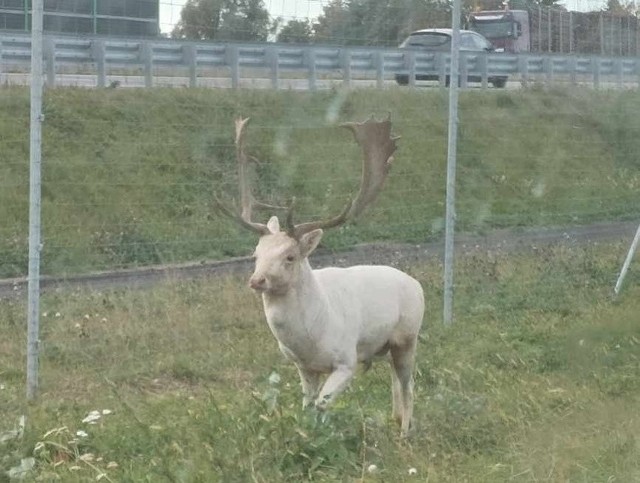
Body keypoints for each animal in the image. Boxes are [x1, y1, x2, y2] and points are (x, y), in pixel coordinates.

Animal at [216, 116, 424, 434]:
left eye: (290, 256)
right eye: (255, 254)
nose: (257, 280)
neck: (311, 339)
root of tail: (417, 284)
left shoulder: (347, 360)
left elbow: (322, 406)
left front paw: (321, 434)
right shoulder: (304, 367)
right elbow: (307, 406)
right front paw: (306, 432)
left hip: (407, 337)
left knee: (408, 384)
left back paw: (404, 432)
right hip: (387, 346)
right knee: (394, 380)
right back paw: (395, 419)